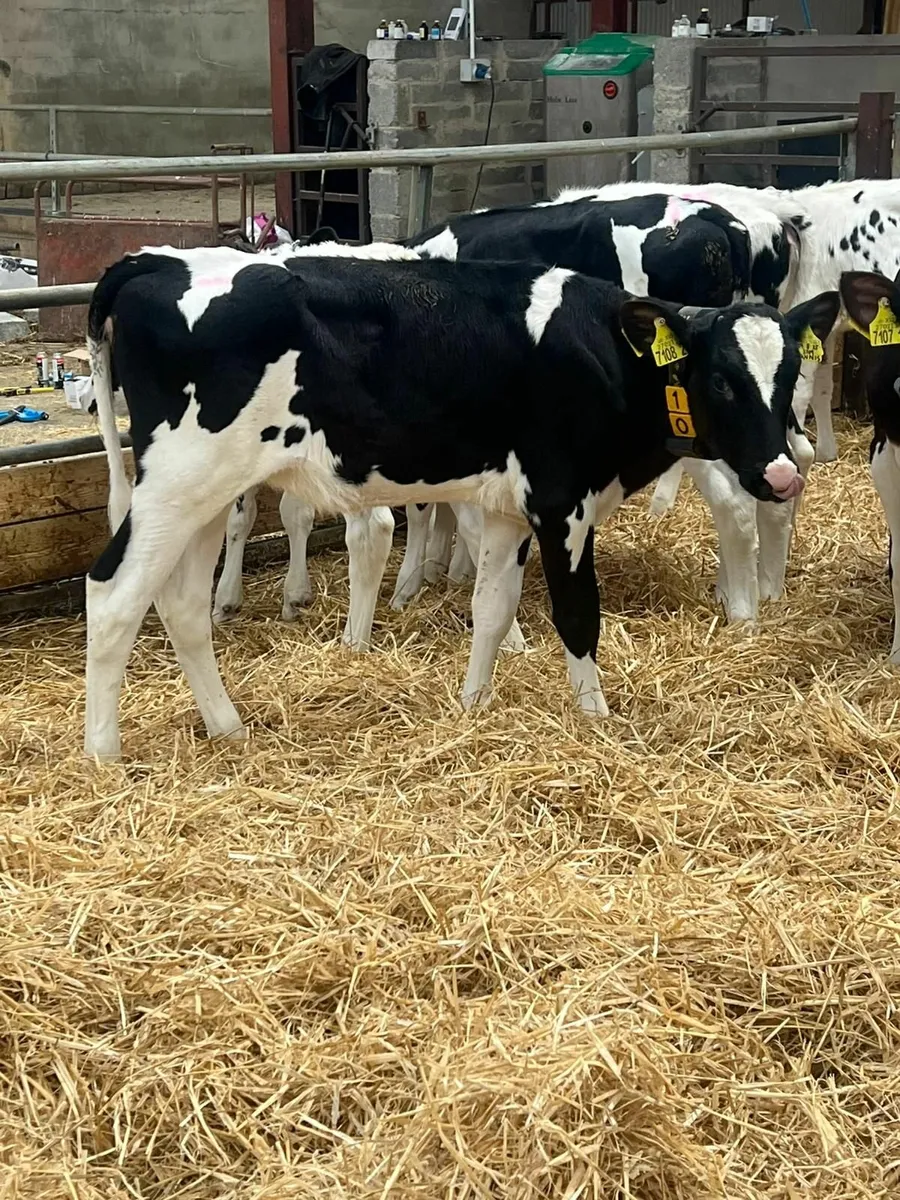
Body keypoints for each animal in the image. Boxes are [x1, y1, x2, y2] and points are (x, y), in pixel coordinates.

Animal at [83, 240, 837, 759]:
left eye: (789, 376)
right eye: (721, 379)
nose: (781, 474)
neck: (602, 351)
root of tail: (157, 262)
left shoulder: (506, 510)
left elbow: (492, 610)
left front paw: (474, 705)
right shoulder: (561, 503)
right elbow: (577, 615)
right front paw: (596, 721)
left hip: (206, 496)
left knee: (182, 604)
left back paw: (227, 728)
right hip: (178, 482)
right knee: (114, 594)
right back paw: (103, 755)